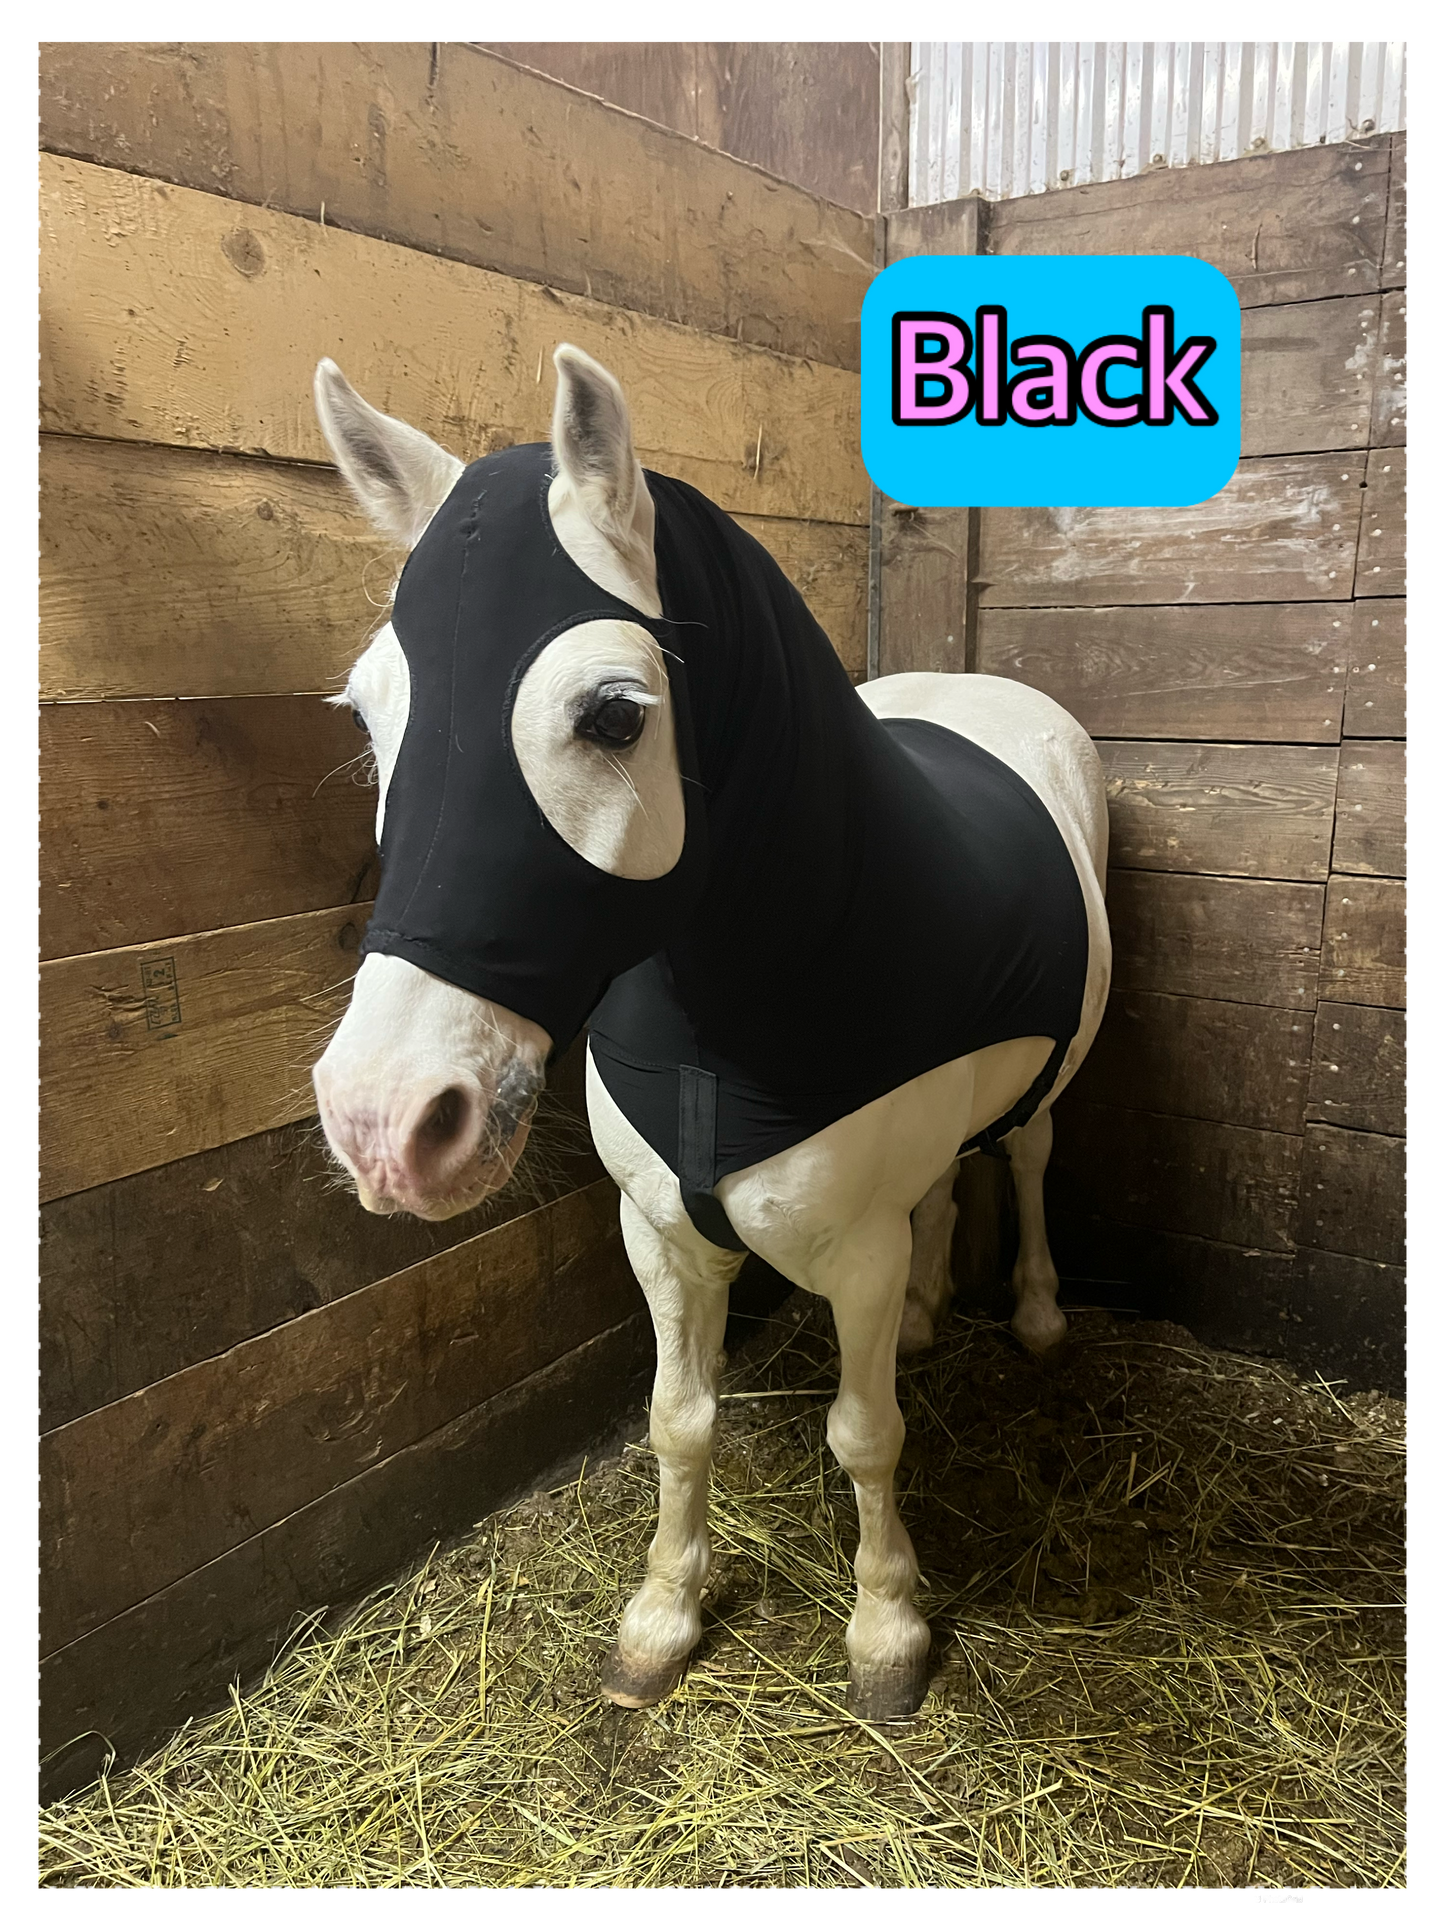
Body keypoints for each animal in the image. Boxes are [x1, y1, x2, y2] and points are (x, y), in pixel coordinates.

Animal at [309, 343, 1111, 1722]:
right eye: (366, 714)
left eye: (614, 713)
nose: (380, 1121)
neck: (718, 1021)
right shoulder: (661, 1235)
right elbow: (678, 1419)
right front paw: (660, 1616)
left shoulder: (849, 1251)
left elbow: (864, 1433)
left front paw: (886, 1631)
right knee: (945, 1186)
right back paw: (927, 1315)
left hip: (1040, 1110)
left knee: (1023, 1157)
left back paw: (1036, 1316)